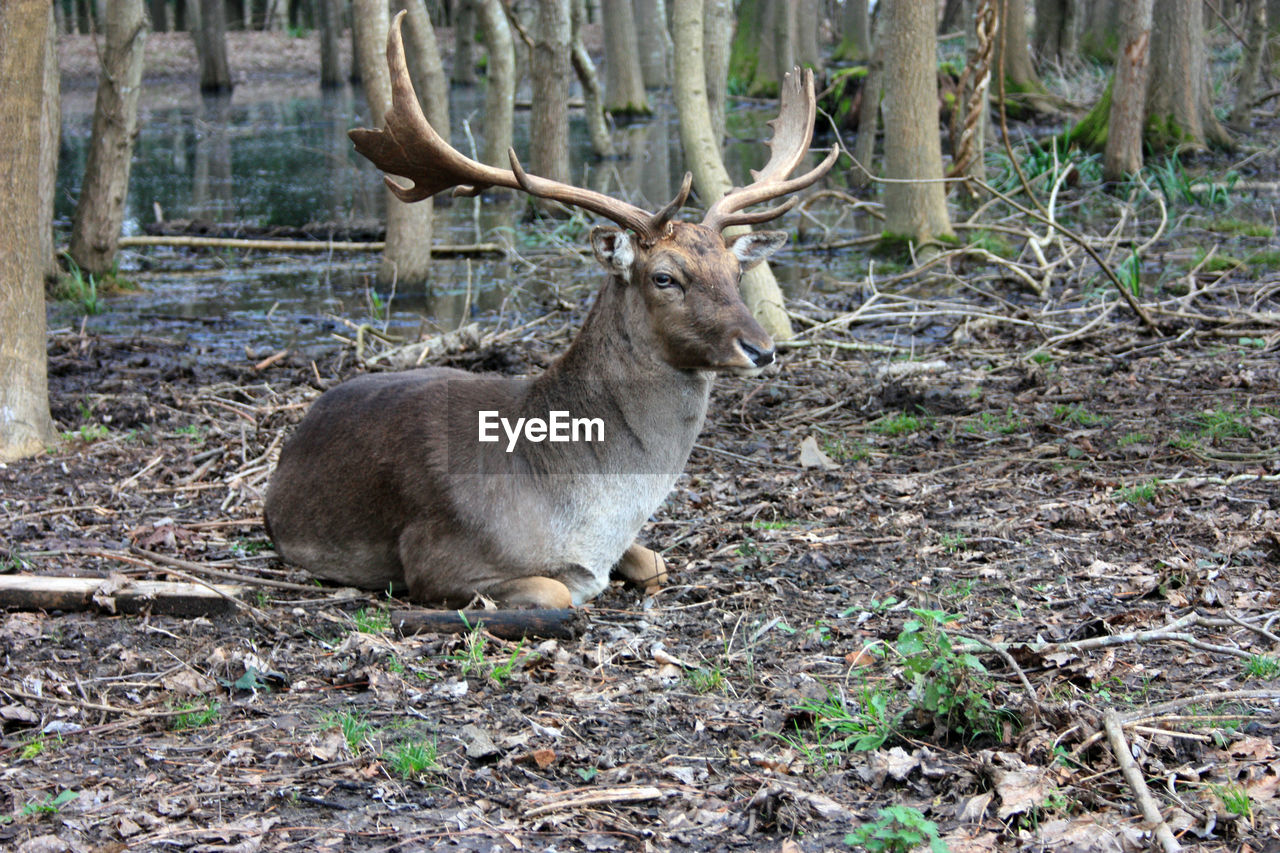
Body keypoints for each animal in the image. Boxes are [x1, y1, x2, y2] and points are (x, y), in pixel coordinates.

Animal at [264, 11, 834, 612]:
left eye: (735, 272)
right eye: (664, 277)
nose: (762, 348)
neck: (586, 514)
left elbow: (656, 562)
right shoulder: (435, 555)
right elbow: (556, 590)